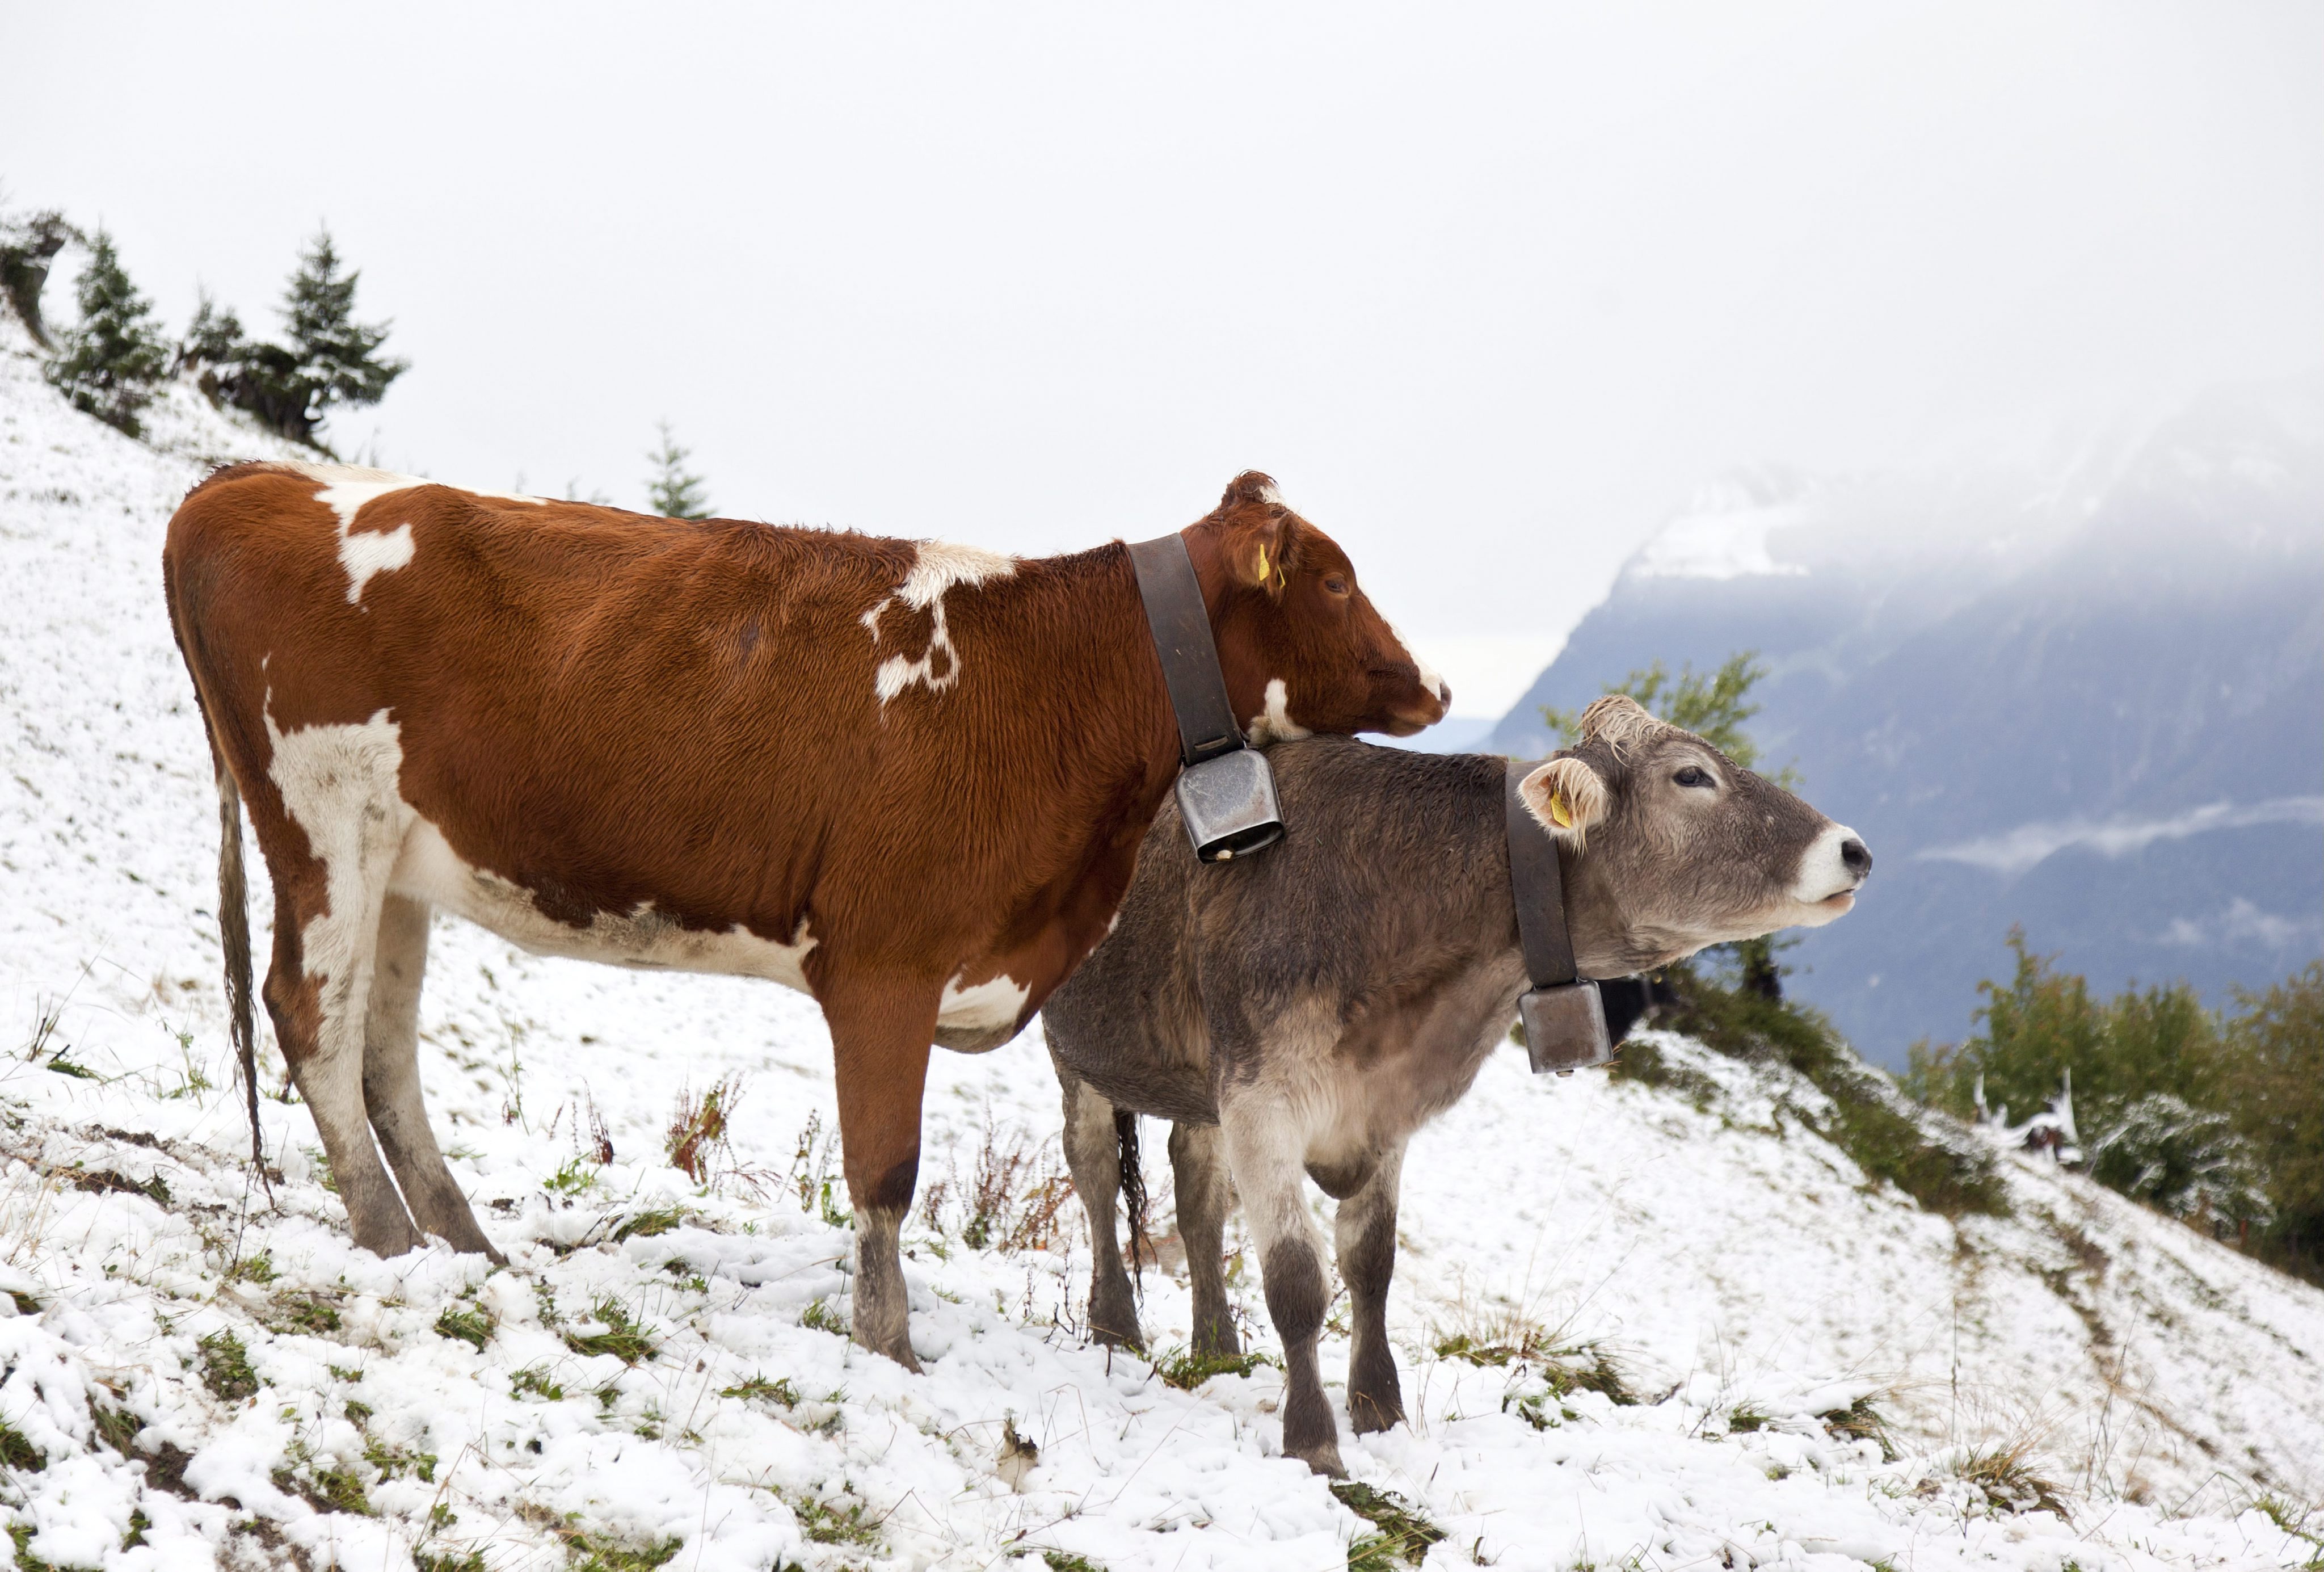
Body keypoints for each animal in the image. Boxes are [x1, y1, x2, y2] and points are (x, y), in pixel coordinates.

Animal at [163, 463, 1441, 1367]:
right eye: (1334, 580)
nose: (1433, 683)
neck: (1057, 674)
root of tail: (251, 481)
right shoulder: (886, 965)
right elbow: (885, 1171)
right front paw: (888, 1341)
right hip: (322, 819)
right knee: (311, 1017)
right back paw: (386, 1234)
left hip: (398, 864)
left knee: (381, 1046)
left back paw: (462, 1239)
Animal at [1041, 697, 1868, 1469]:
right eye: (1692, 776)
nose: (1853, 849)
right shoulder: (1261, 1102)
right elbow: (1298, 1281)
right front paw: (1314, 1441)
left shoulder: (1379, 1110)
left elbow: (1371, 1263)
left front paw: (1380, 1410)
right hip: (1077, 1053)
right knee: (1093, 1172)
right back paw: (1114, 1324)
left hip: (1199, 1091)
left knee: (1195, 1191)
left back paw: (1217, 1347)